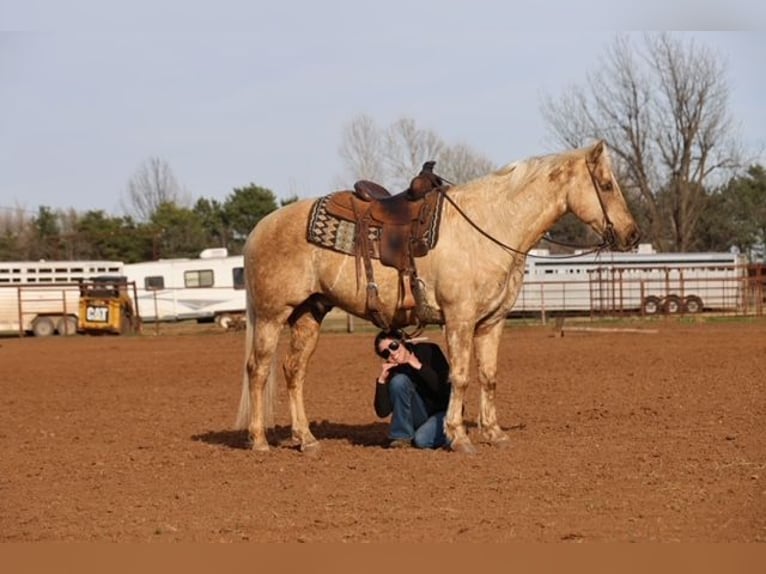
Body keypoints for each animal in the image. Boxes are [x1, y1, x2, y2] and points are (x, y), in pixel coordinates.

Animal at [234, 140, 640, 454]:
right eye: (606, 184)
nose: (632, 234)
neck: (489, 226)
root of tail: (259, 228)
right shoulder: (459, 318)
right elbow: (460, 376)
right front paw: (459, 437)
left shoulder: (492, 322)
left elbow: (488, 375)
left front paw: (494, 433)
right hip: (271, 316)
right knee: (257, 370)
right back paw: (259, 441)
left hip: (308, 314)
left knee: (293, 371)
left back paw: (306, 440)